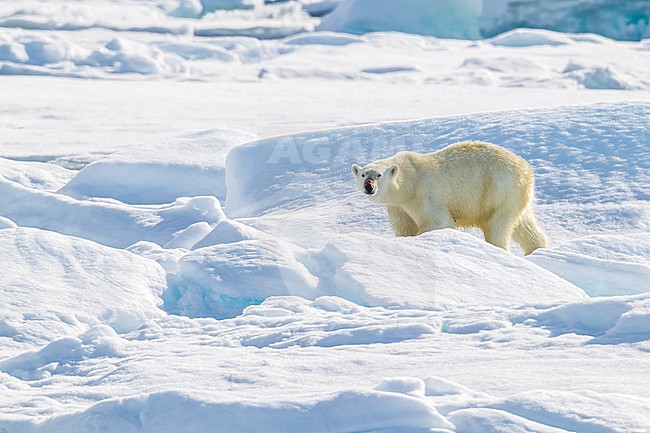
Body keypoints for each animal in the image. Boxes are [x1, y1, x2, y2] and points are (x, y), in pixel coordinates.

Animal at [351, 141, 547, 255]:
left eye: (378, 175)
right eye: (363, 174)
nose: (369, 187)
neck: (407, 180)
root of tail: (526, 170)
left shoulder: (422, 195)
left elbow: (438, 221)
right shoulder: (397, 206)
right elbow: (405, 227)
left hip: (497, 190)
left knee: (497, 227)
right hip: (515, 196)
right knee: (524, 225)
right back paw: (537, 249)